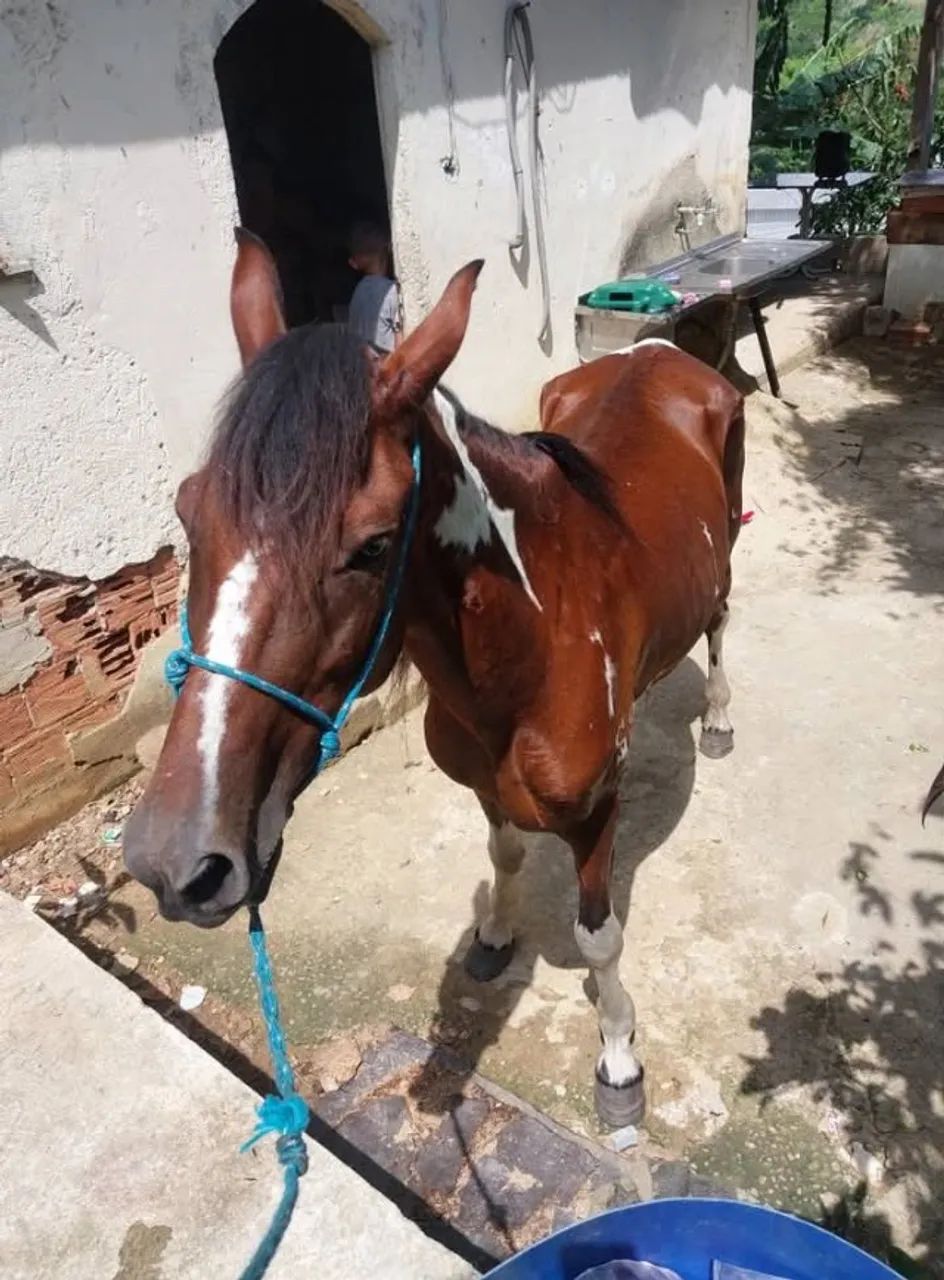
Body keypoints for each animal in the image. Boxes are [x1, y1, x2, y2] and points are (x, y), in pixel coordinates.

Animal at [124, 230, 745, 1127]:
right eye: (186, 508)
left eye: (374, 543)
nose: (178, 861)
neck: (537, 642)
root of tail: (662, 351)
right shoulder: (485, 785)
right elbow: (506, 853)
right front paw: (493, 939)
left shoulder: (598, 815)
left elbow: (599, 939)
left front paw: (620, 1061)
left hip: (727, 536)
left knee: (723, 621)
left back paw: (721, 719)